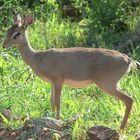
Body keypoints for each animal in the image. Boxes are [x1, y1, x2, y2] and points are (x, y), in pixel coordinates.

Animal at [2, 12, 139, 130]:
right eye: (8, 30)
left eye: (17, 33)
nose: (4, 45)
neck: (36, 57)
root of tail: (128, 60)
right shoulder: (52, 83)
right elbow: (52, 102)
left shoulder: (58, 80)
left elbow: (58, 102)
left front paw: (57, 121)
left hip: (107, 84)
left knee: (129, 99)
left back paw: (121, 129)